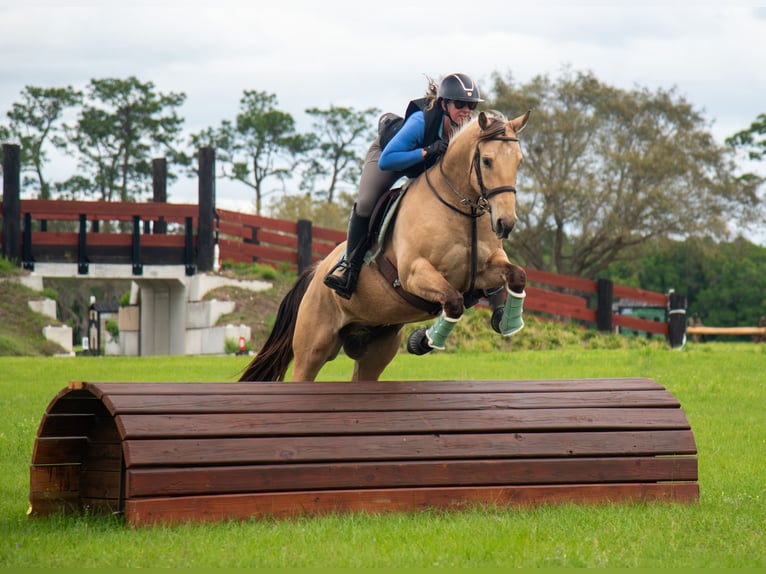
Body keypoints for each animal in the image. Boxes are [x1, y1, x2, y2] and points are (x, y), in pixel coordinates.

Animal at [240, 109, 530, 382]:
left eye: (519, 161)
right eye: (487, 161)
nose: (505, 223)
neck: (461, 210)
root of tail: (316, 272)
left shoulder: (484, 269)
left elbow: (517, 276)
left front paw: (509, 322)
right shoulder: (414, 274)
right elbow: (453, 301)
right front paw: (425, 340)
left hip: (377, 347)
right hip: (312, 347)